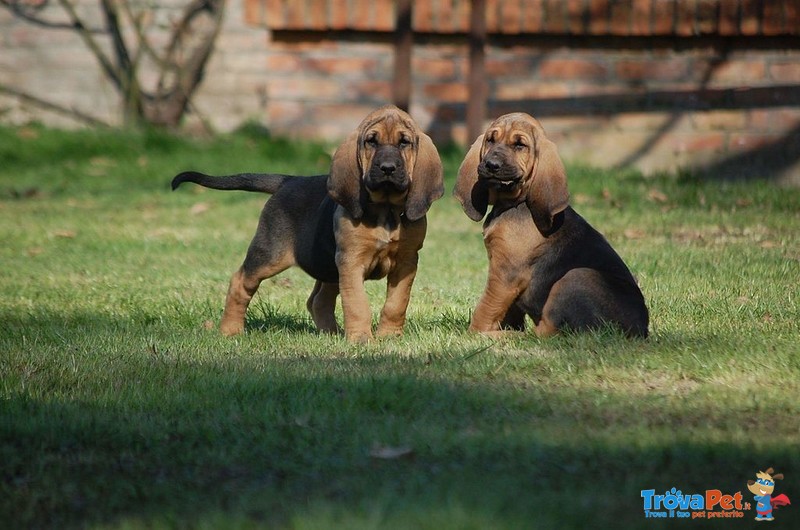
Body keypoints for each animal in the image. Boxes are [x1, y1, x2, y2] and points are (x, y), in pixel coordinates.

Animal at [172, 105, 444, 340]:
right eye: (371, 141)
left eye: (404, 142)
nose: (387, 168)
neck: (386, 209)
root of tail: (287, 180)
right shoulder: (351, 261)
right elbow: (357, 304)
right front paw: (360, 339)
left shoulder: (406, 262)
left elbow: (396, 303)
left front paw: (388, 337)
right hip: (270, 255)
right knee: (240, 282)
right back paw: (230, 330)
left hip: (327, 266)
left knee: (318, 301)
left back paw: (331, 334)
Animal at [454, 113, 648, 338]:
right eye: (490, 140)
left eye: (520, 145)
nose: (491, 164)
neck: (516, 202)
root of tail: (640, 331)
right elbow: (507, 310)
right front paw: (505, 326)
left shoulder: (505, 274)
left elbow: (486, 308)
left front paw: (475, 332)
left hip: (576, 277)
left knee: (544, 333)